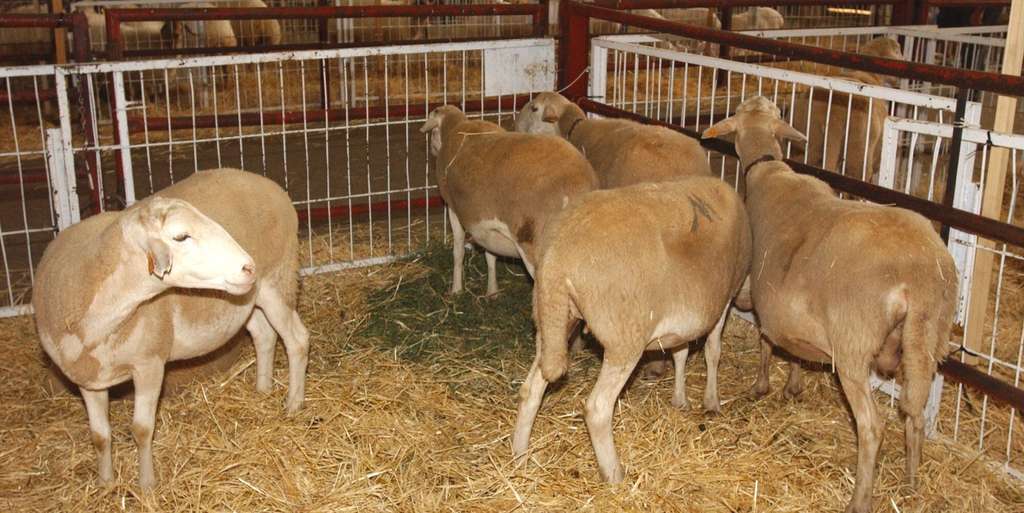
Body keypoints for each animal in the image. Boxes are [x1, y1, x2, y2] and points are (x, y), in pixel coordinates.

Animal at [33, 168, 309, 490]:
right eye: (181, 236)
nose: (248, 267)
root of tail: (271, 186)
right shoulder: (88, 378)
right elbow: (100, 437)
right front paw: (106, 484)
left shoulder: (150, 364)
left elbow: (141, 429)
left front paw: (146, 486)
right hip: (244, 299)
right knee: (264, 335)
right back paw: (262, 390)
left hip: (276, 280)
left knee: (297, 340)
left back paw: (293, 404)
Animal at [420, 105, 598, 296]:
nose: (432, 150)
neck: (456, 128)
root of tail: (576, 185)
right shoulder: (488, 225)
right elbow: (490, 255)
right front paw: (492, 291)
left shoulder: (453, 208)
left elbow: (458, 251)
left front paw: (456, 290)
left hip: (533, 244)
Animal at [512, 176, 751, 483]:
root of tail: (556, 258)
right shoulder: (723, 301)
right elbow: (713, 352)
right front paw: (711, 402)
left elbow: (680, 353)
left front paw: (680, 399)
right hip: (624, 338)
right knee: (598, 408)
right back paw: (614, 474)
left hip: (552, 320)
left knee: (531, 390)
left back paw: (519, 458)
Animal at [701, 96, 958, 513]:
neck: (768, 167)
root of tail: (920, 276)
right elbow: (789, 346)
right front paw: (793, 384)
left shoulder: (754, 289)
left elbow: (763, 339)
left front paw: (760, 385)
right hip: (927, 339)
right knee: (914, 413)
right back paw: (911, 483)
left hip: (853, 346)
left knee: (872, 426)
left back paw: (860, 498)